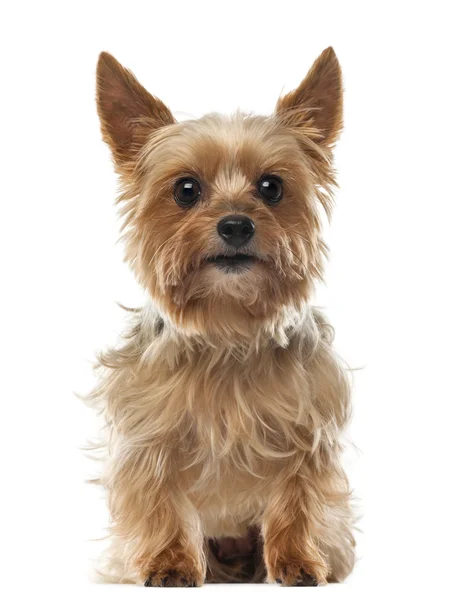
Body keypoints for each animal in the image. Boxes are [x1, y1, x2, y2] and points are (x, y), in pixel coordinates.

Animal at [89, 45, 356, 584]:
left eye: (272, 187)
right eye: (186, 189)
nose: (236, 225)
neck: (228, 326)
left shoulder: (307, 434)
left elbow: (297, 501)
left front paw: (297, 562)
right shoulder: (148, 438)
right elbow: (160, 502)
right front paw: (170, 563)